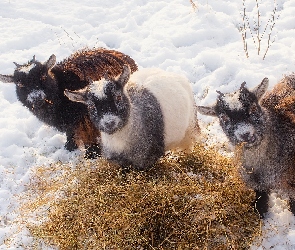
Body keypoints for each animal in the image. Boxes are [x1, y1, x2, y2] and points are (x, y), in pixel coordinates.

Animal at [0, 48, 139, 158]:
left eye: (43, 77)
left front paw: (92, 154)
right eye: (20, 84)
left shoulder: (86, 119)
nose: (36, 97)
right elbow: (70, 133)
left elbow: (89, 137)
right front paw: (70, 147)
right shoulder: (70, 122)